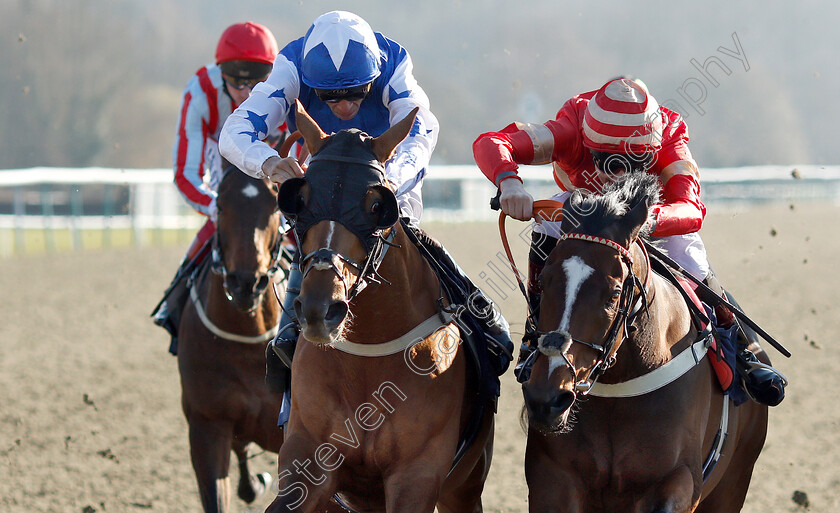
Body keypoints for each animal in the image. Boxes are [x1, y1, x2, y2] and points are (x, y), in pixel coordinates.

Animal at [266, 98, 496, 510]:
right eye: (300, 201)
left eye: (376, 205)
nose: (320, 310)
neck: (367, 362)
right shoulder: (308, 463)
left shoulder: (416, 476)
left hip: (465, 484)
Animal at [520, 172, 772, 512]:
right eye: (543, 281)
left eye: (614, 293)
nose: (546, 400)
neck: (622, 383)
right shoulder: (553, 476)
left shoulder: (679, 478)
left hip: (733, 482)